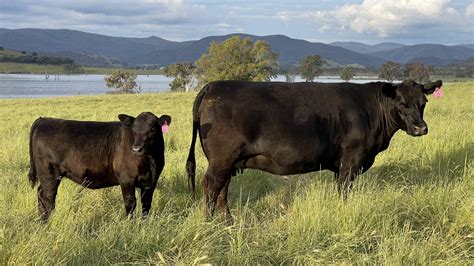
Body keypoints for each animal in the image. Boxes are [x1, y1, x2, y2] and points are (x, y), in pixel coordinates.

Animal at [28, 111, 171, 220]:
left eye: (152, 129)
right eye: (134, 131)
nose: (136, 149)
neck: (150, 161)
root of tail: (43, 120)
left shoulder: (150, 182)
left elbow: (146, 205)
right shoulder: (126, 180)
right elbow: (130, 203)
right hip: (49, 175)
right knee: (47, 197)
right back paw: (45, 221)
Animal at [185, 78, 440, 218]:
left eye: (423, 102)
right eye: (401, 103)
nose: (420, 128)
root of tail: (212, 86)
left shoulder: (341, 165)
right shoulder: (351, 160)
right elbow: (344, 191)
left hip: (227, 162)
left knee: (222, 190)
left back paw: (228, 222)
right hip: (222, 159)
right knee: (212, 187)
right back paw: (209, 222)